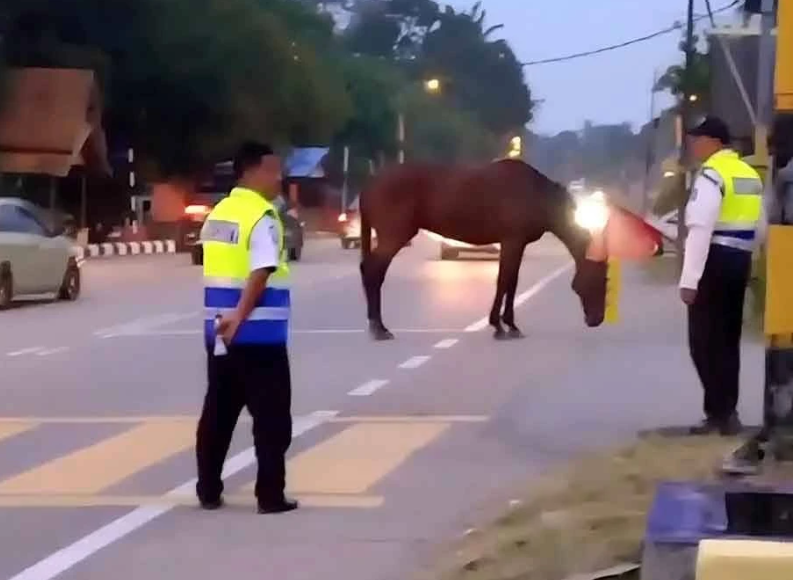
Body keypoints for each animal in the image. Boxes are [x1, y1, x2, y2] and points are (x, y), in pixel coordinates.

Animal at [359, 158, 608, 341]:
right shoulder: (512, 241)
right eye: (599, 279)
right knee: (373, 271)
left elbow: (511, 281)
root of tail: (370, 184)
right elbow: (504, 281)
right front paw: (501, 326)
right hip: (394, 235)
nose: (596, 320)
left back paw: (377, 326)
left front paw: (509, 325)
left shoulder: (516, 244)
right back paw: (379, 329)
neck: (535, 194)